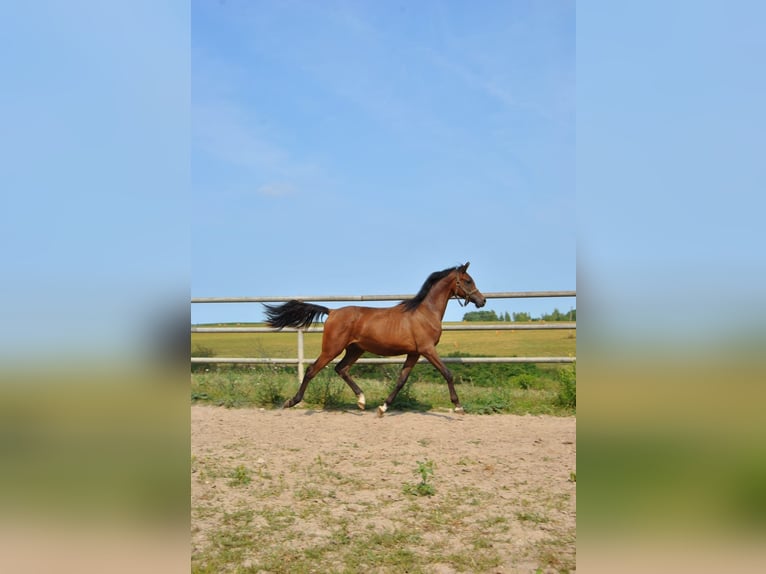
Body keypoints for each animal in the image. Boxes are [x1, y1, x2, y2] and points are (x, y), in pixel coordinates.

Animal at [264, 262, 486, 418]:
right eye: (468, 281)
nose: (482, 301)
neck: (424, 313)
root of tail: (332, 311)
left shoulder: (414, 353)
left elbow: (401, 381)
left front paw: (382, 408)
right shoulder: (427, 349)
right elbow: (447, 373)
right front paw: (458, 407)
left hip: (355, 349)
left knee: (341, 369)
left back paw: (362, 401)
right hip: (332, 348)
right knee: (312, 370)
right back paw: (292, 401)